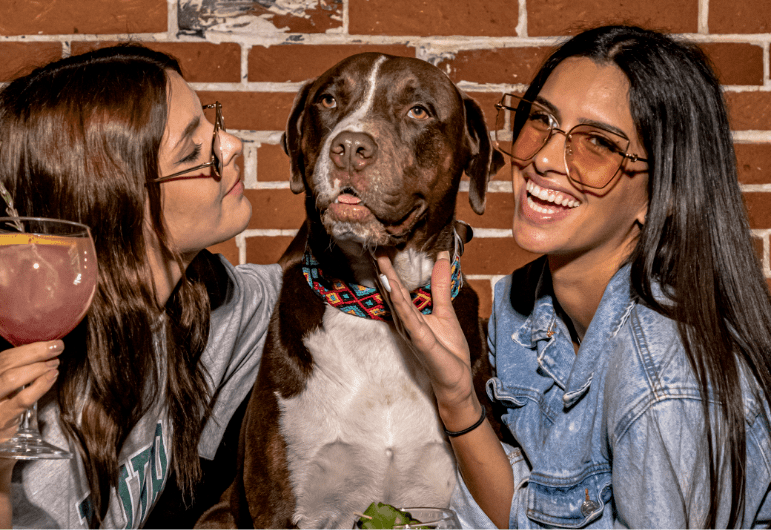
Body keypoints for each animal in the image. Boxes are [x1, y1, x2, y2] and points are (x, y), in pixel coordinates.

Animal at [199, 51, 506, 528]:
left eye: (419, 111)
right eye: (328, 100)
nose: (349, 148)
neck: (373, 306)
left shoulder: (439, 505)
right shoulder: (285, 505)